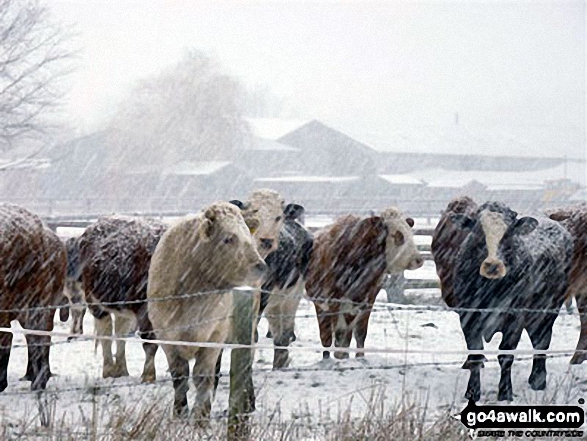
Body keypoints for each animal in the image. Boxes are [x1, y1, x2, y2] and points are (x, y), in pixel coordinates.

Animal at [79, 216, 167, 378]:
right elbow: (150, 343)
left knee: (121, 332)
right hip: (95, 301)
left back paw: (121, 370)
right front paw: (148, 375)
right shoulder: (144, 309)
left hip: (122, 306)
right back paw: (108, 370)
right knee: (106, 333)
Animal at [147, 201, 266, 418]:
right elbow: (179, 376)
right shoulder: (166, 336)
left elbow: (203, 376)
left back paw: (247, 403)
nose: (261, 266)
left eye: (247, 235)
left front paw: (201, 416)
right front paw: (179, 413)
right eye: (228, 238)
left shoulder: (214, 336)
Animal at [308, 208, 422, 360]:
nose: (418, 259)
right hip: (320, 304)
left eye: (410, 232)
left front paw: (359, 357)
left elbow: (360, 332)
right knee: (326, 337)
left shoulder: (369, 299)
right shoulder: (334, 300)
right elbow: (338, 334)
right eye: (398, 235)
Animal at [452, 201, 572, 400]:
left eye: (508, 233)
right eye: (477, 231)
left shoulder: (515, 318)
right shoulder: (468, 317)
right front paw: (472, 392)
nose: (493, 265)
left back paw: (538, 380)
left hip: (549, 310)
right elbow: (475, 354)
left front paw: (505, 392)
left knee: (542, 341)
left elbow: (506, 355)